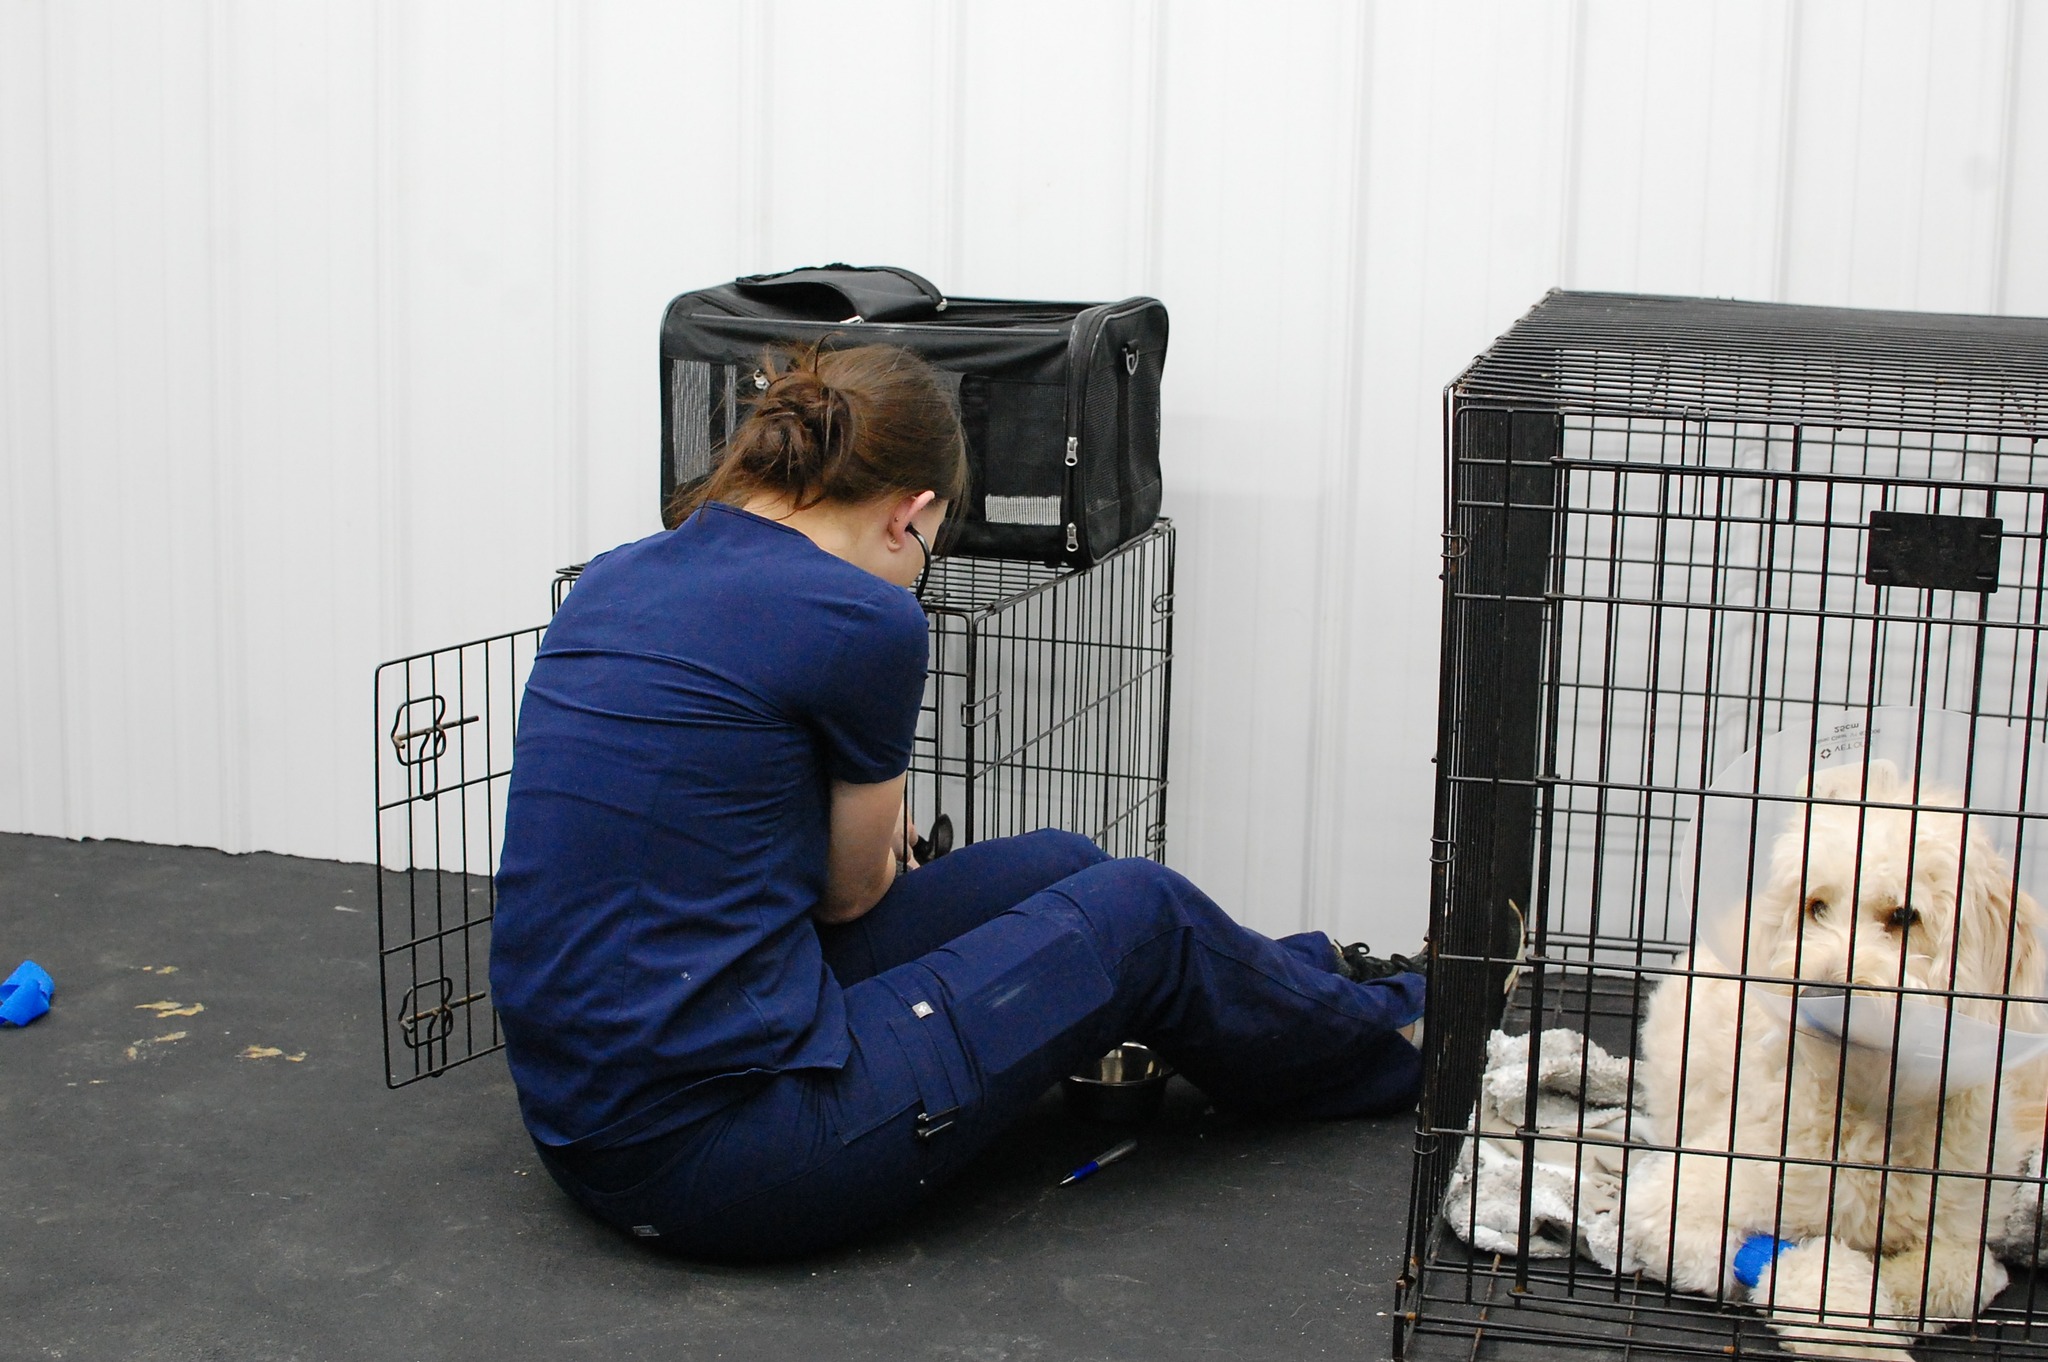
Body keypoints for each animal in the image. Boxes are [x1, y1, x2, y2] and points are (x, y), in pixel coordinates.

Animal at [1623, 760, 2048, 1357]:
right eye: (1816, 906)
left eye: (1904, 915)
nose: (1821, 991)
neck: (1871, 1106)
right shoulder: (1674, 1206)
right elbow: (1803, 1264)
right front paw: (1862, 1324)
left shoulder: (1963, 1226)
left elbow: (1961, 1276)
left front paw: (1892, 1298)